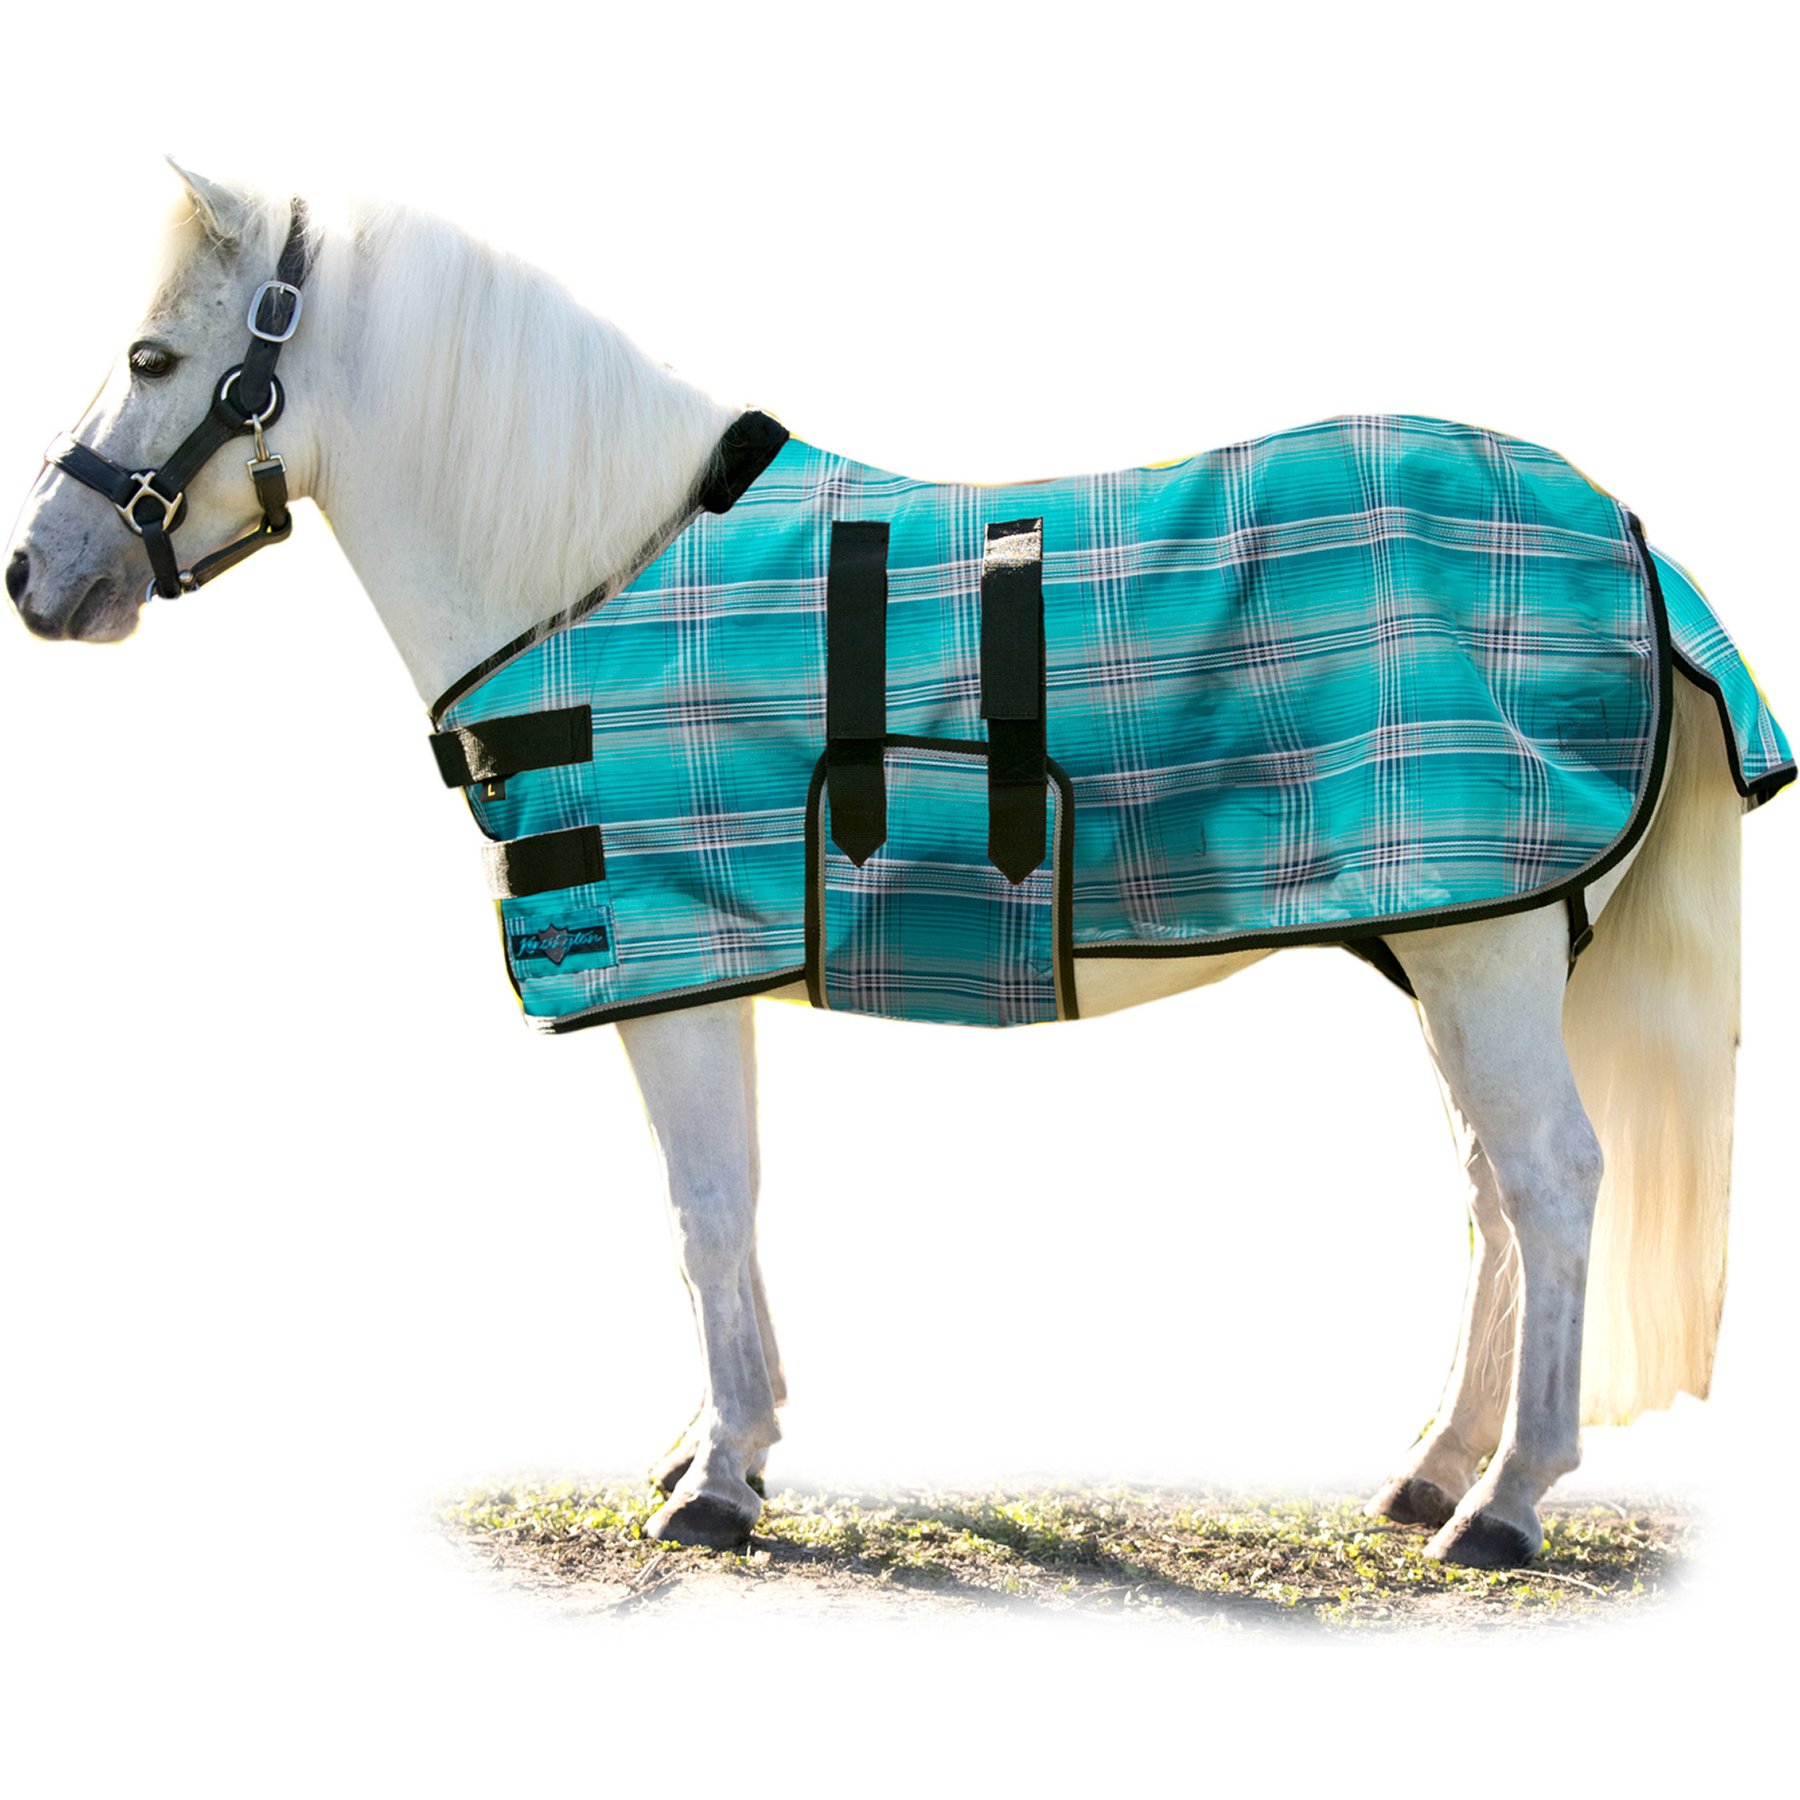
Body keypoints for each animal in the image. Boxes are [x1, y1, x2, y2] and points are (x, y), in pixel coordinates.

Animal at [7, 163, 1789, 1570]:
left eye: (155, 355)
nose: (37, 575)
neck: (594, 570)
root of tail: (1630, 533)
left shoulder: (670, 966)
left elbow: (705, 1206)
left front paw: (719, 1482)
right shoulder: (698, 968)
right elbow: (716, 1209)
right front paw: (719, 1444)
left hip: (1484, 949)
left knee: (1552, 1183)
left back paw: (1506, 1502)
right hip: (1455, 939)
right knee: (1494, 1196)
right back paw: (1431, 1470)